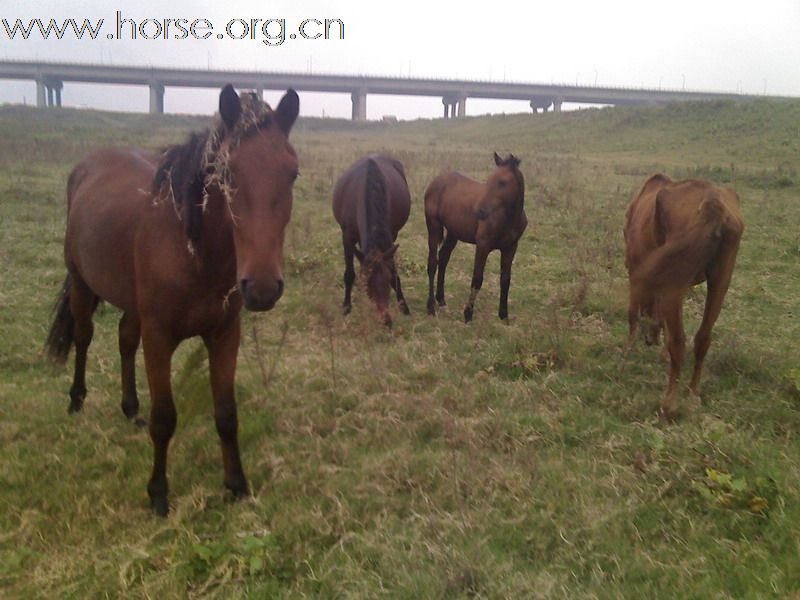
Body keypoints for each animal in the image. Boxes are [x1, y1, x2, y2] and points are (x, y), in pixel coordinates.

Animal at [47, 85, 304, 516]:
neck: (194, 253)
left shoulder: (224, 334)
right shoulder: (159, 337)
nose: (262, 287)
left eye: (293, 173)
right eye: (227, 173)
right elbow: (165, 418)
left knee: (124, 339)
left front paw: (236, 484)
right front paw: (158, 494)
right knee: (84, 336)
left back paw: (130, 407)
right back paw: (77, 400)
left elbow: (226, 414)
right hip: (83, 284)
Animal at [332, 152, 410, 326]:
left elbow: (395, 273)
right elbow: (349, 274)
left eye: (387, 279)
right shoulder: (347, 237)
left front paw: (404, 306)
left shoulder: (390, 236)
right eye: (368, 282)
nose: (386, 320)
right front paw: (346, 307)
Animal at [422, 154, 528, 324]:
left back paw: (441, 300)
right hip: (433, 226)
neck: (509, 219)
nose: (480, 211)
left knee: (443, 257)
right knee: (433, 262)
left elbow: (505, 279)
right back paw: (431, 306)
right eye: (489, 180)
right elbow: (477, 279)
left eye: (502, 182)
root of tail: (436, 180)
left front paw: (503, 315)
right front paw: (468, 314)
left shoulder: (511, 247)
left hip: (453, 232)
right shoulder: (483, 245)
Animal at [624, 172, 744, 418]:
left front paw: (629, 348)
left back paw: (669, 403)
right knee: (702, 338)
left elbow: (634, 313)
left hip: (674, 285)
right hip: (719, 281)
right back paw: (694, 392)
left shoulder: (634, 269)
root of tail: (713, 206)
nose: (649, 339)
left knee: (679, 342)